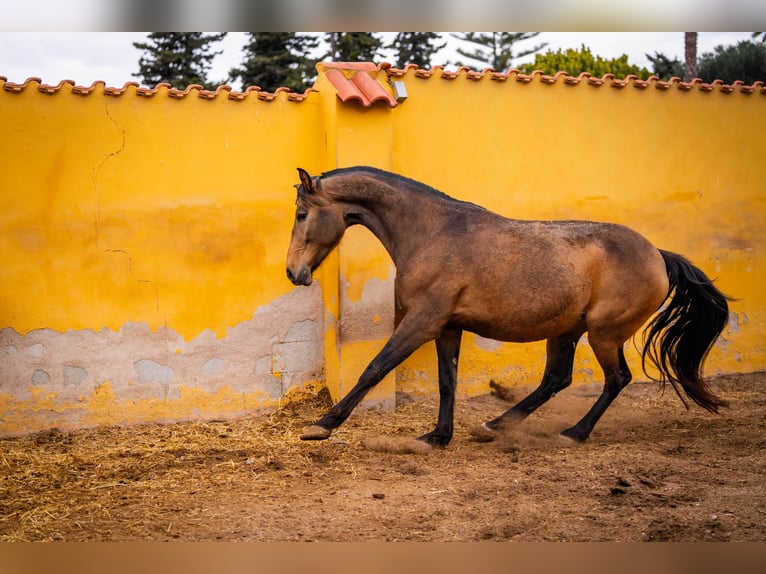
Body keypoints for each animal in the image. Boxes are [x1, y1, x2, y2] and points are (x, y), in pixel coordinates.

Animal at [285, 166, 730, 446]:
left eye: (303, 214)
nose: (293, 272)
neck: (432, 232)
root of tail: (658, 255)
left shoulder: (423, 321)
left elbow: (375, 368)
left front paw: (321, 426)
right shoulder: (448, 326)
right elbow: (447, 381)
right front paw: (438, 437)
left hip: (604, 334)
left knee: (616, 378)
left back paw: (573, 433)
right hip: (567, 331)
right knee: (556, 379)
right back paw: (494, 425)